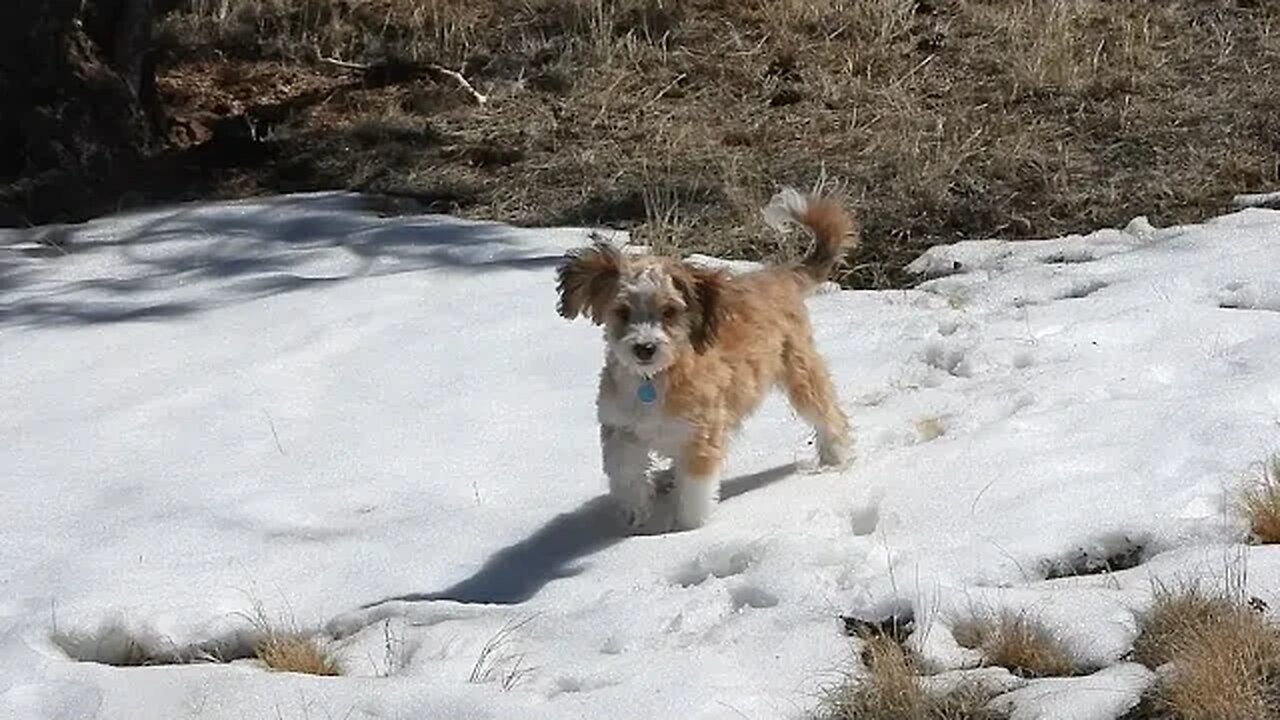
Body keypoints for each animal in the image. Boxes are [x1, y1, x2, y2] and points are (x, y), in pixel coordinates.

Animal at [555, 188, 855, 530]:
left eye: (669, 311)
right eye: (622, 312)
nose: (645, 348)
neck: (654, 380)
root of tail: (779, 275)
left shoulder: (700, 433)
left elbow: (694, 490)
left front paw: (688, 529)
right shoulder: (621, 430)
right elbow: (627, 476)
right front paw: (635, 516)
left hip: (800, 372)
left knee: (828, 414)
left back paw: (836, 458)